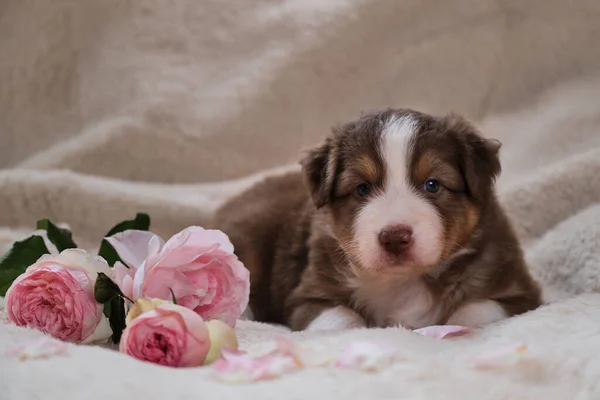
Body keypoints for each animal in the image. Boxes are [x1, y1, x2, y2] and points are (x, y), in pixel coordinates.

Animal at [212, 108, 544, 330]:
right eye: (362, 188)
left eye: (432, 184)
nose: (395, 237)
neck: (401, 282)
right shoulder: (308, 296)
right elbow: (342, 319)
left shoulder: (520, 293)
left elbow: (474, 311)